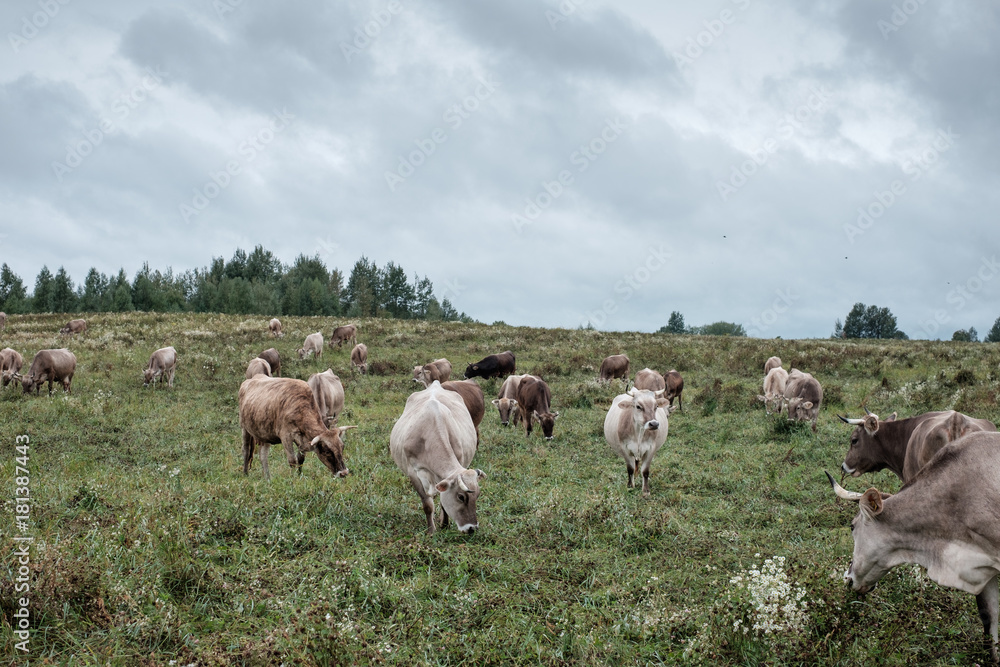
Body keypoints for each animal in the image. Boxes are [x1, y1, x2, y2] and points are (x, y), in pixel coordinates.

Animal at [389, 381, 484, 535]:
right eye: (461, 497)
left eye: (477, 496)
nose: (471, 528)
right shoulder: (413, 473)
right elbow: (427, 505)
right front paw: (431, 531)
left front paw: (444, 523)